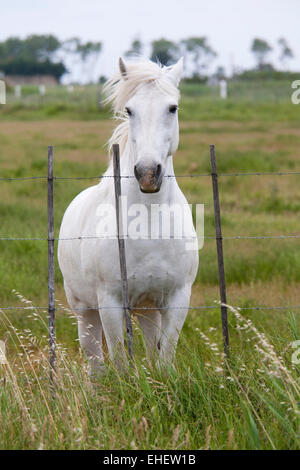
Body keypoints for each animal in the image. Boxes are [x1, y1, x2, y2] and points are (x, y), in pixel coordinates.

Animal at [58, 58, 199, 374]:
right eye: (129, 110)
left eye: (172, 108)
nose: (147, 173)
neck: (148, 221)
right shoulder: (110, 303)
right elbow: (120, 362)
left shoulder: (177, 298)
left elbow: (164, 359)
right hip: (85, 311)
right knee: (95, 364)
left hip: (148, 310)